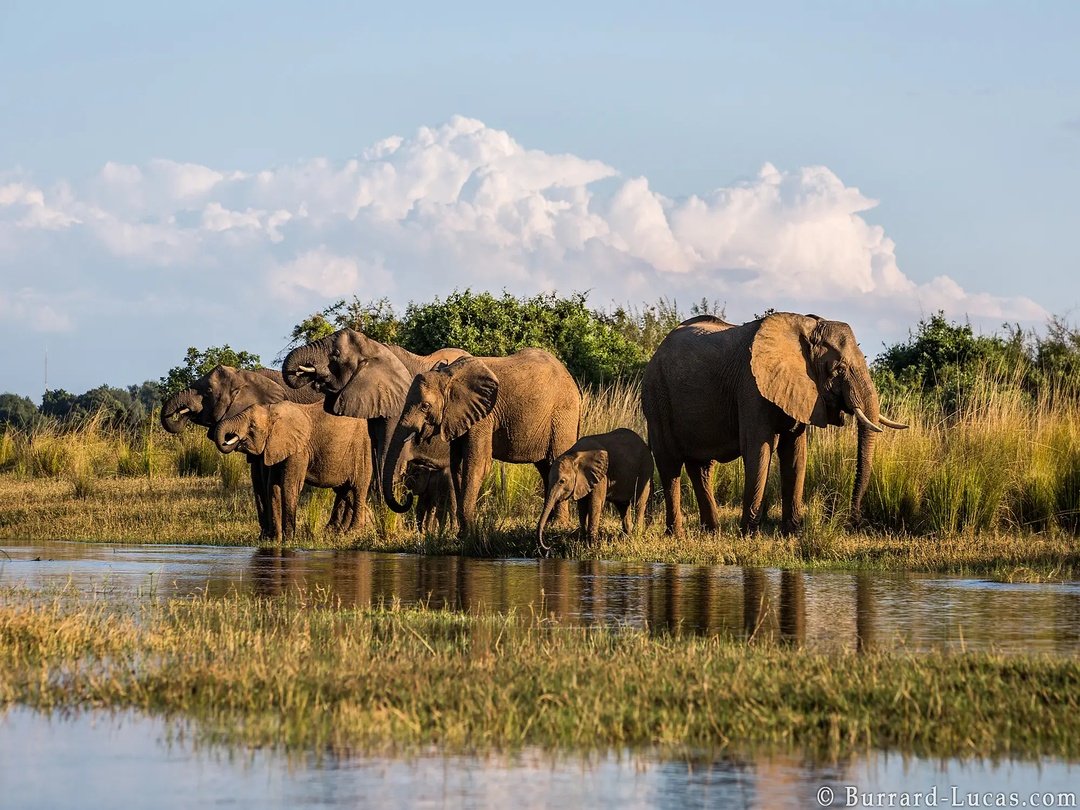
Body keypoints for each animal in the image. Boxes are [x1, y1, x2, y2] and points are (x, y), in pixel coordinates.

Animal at [160, 365, 326, 538]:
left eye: (208, 391)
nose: (182, 413)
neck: (244, 377)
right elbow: (257, 479)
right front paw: (264, 537)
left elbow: (265, 478)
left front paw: (270, 536)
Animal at [213, 401, 372, 541]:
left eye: (252, 426)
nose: (230, 439)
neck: (272, 411)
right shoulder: (275, 447)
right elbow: (273, 487)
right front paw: (275, 540)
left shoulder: (299, 450)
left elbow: (289, 486)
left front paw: (288, 540)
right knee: (345, 491)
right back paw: (357, 526)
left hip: (362, 449)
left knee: (358, 488)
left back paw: (354, 531)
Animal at [381, 350, 581, 540]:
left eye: (425, 406)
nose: (407, 496)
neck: (447, 376)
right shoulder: (458, 417)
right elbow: (457, 465)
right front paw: (462, 533)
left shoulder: (484, 416)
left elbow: (477, 465)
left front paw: (467, 535)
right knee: (545, 467)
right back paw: (549, 523)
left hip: (563, 415)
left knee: (555, 460)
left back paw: (558, 525)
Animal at [641, 313, 907, 537]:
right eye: (839, 369)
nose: (853, 521)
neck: (806, 326)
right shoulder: (751, 387)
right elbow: (759, 450)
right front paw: (749, 535)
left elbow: (795, 455)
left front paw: (792, 533)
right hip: (657, 397)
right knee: (670, 465)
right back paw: (676, 534)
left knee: (701, 467)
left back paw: (711, 532)